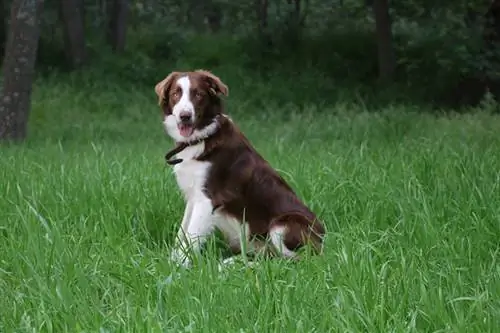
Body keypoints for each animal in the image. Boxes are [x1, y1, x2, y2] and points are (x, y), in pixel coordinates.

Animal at [154, 69, 326, 268]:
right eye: (176, 94)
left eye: (198, 94)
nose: (185, 116)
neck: (203, 137)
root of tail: (325, 240)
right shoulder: (193, 195)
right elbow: (181, 233)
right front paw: (171, 261)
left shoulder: (207, 199)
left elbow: (190, 237)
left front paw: (180, 268)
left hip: (282, 225)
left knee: (290, 261)